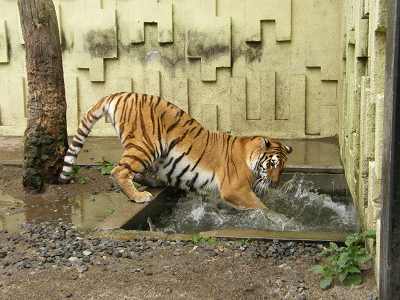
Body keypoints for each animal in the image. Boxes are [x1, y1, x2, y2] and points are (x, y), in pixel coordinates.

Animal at [59, 92, 292, 210]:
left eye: (282, 167)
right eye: (271, 164)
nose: (276, 182)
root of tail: (119, 94)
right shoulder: (234, 189)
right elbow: (261, 207)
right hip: (145, 146)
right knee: (119, 171)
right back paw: (139, 196)